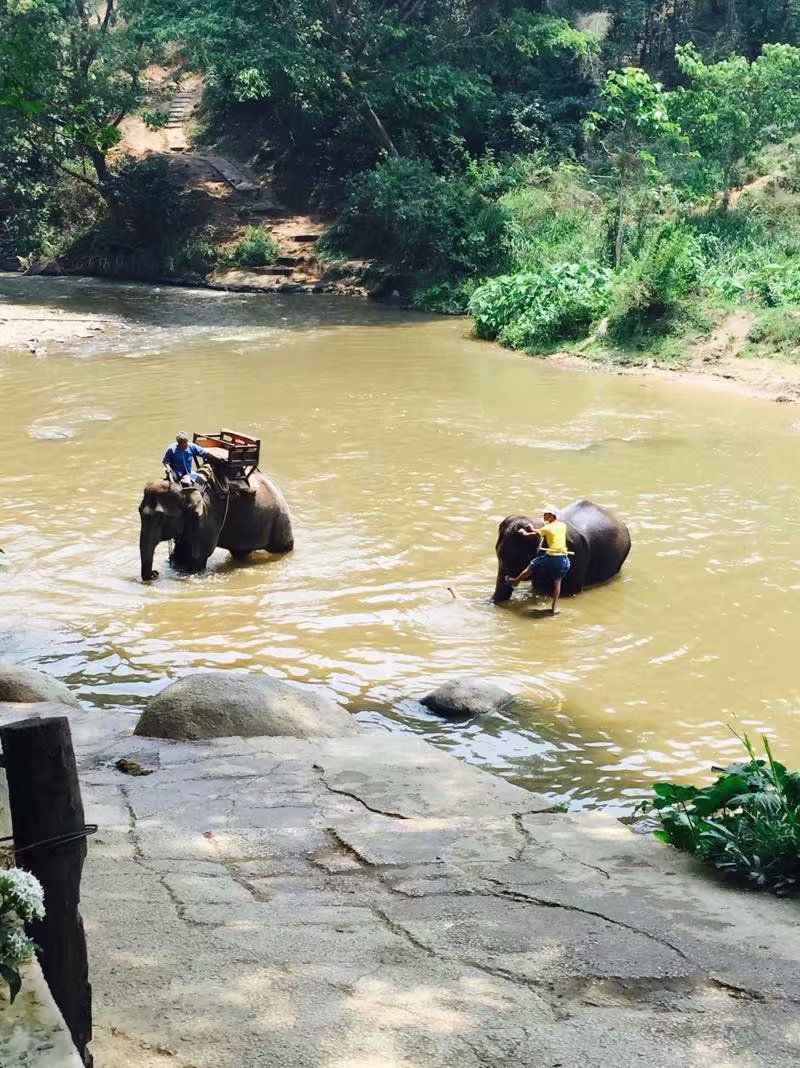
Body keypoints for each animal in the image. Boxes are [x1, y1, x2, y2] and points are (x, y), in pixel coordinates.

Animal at [137, 454, 292, 580]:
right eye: (139, 511)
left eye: (160, 517)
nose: (155, 574)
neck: (184, 487)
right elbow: (180, 553)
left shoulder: (207, 518)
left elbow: (195, 558)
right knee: (240, 552)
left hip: (280, 519)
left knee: (283, 548)